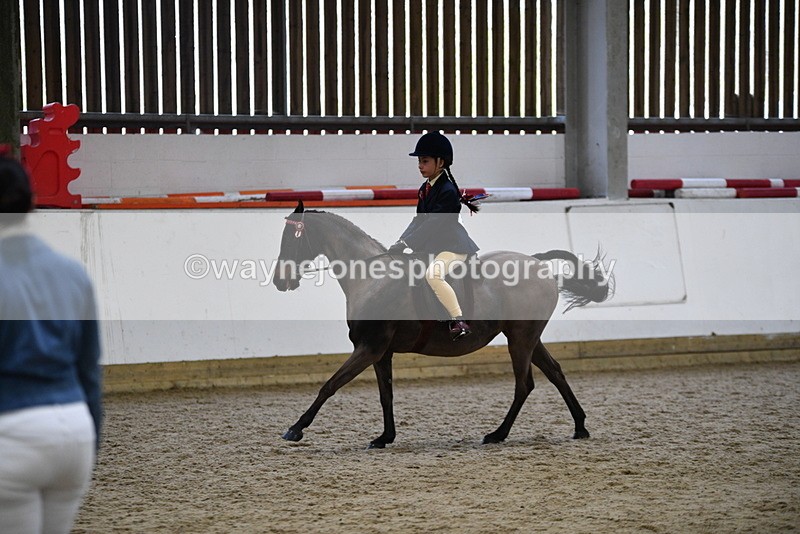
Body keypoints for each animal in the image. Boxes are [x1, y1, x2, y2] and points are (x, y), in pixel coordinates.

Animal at [272, 201, 613, 448]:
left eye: (291, 239)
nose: (279, 281)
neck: (372, 278)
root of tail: (538, 263)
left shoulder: (369, 348)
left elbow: (329, 385)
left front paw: (295, 429)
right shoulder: (381, 353)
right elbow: (386, 395)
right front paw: (385, 437)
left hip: (521, 339)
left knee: (524, 384)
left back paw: (497, 434)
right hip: (527, 337)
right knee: (555, 372)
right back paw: (579, 426)